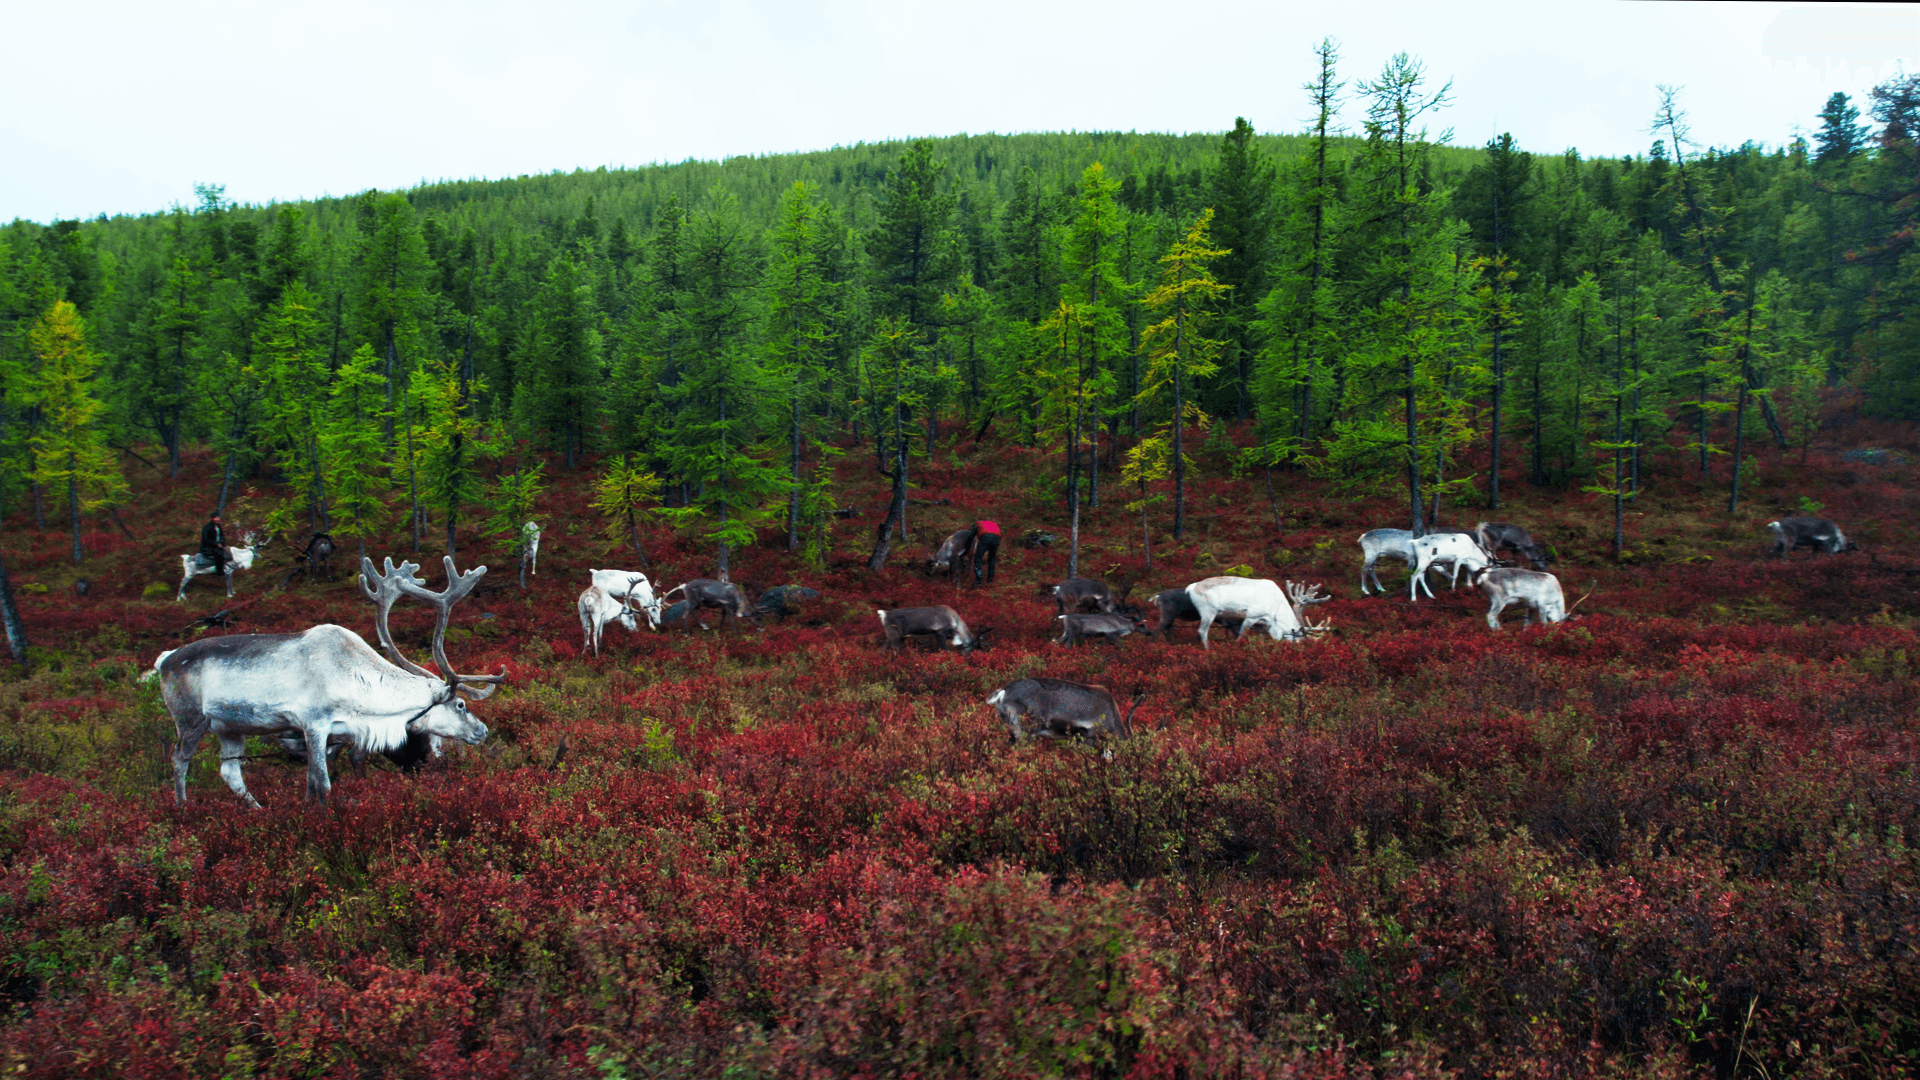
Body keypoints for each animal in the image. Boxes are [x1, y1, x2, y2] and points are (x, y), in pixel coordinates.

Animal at [153, 555, 504, 806]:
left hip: (230, 728)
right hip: (190, 719)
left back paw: (258, 811)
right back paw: (182, 808)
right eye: (461, 705)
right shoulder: (313, 724)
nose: (483, 730)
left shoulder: (342, 732)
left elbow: (319, 780)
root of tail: (164, 660)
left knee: (229, 772)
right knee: (179, 761)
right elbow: (321, 784)